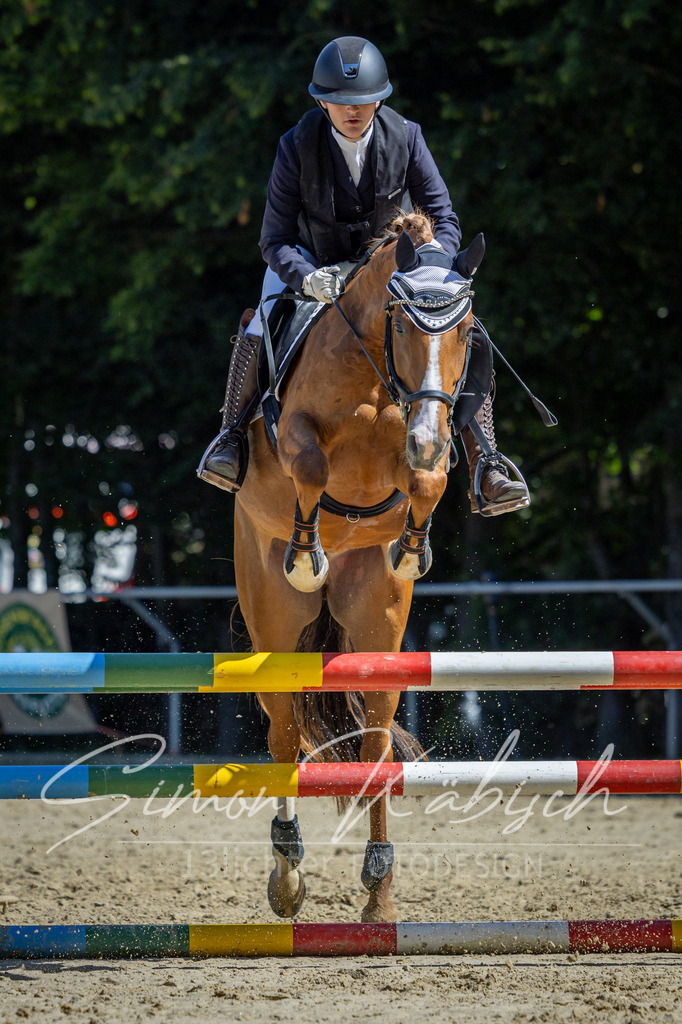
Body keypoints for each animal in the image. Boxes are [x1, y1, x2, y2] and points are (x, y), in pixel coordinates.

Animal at [233, 212, 483, 923]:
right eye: (401, 325)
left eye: (466, 330)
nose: (427, 432)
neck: (377, 378)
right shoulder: (295, 434)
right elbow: (313, 466)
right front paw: (307, 553)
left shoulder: (419, 459)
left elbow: (426, 481)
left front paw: (412, 547)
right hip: (272, 624)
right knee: (284, 735)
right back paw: (287, 875)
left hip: (377, 624)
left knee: (373, 743)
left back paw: (378, 892)